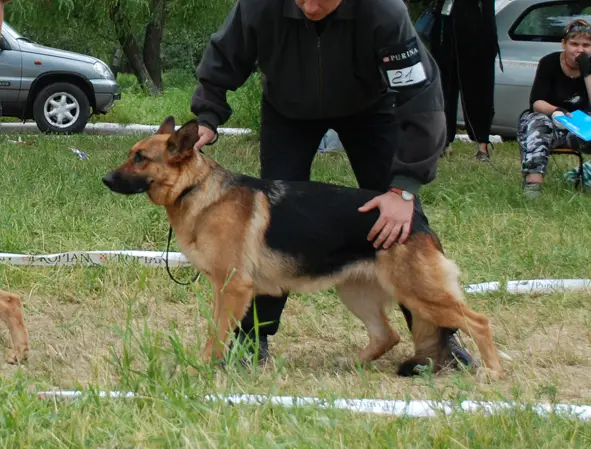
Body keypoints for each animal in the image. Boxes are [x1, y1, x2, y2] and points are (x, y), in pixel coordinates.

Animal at [103, 116, 504, 378]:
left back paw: (493, 372)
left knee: (479, 322)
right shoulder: (226, 289)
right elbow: (220, 330)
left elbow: (217, 332)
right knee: (387, 335)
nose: (104, 179)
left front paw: (200, 367)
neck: (196, 187)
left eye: (140, 158)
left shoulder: (233, 288)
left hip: (419, 292)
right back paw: (350, 365)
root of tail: (416, 218)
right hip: (356, 294)